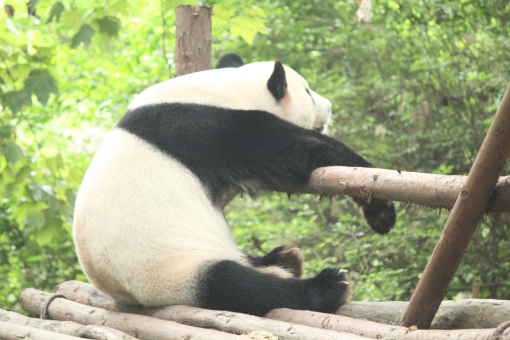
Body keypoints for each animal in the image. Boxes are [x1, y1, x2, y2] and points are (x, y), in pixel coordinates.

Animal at [72, 52, 398, 316]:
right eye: (308, 93)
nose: (329, 107)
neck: (227, 88)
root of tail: (123, 294)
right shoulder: (209, 127)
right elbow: (293, 151)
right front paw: (381, 209)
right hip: (169, 270)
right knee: (236, 285)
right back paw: (326, 285)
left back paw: (284, 258)